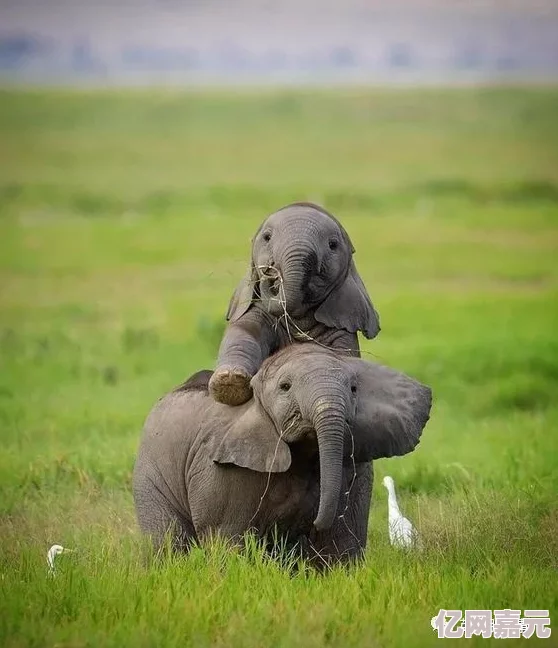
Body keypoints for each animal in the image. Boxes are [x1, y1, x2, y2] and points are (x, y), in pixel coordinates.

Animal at [132, 344, 434, 568]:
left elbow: (341, 539)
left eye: (354, 389)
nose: (313, 522)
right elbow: (227, 538)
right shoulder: (221, 469)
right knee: (168, 541)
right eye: (285, 387)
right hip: (150, 472)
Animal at [208, 200, 382, 408]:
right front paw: (229, 383)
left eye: (333, 245)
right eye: (267, 237)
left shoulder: (341, 325)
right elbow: (244, 332)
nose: (269, 271)